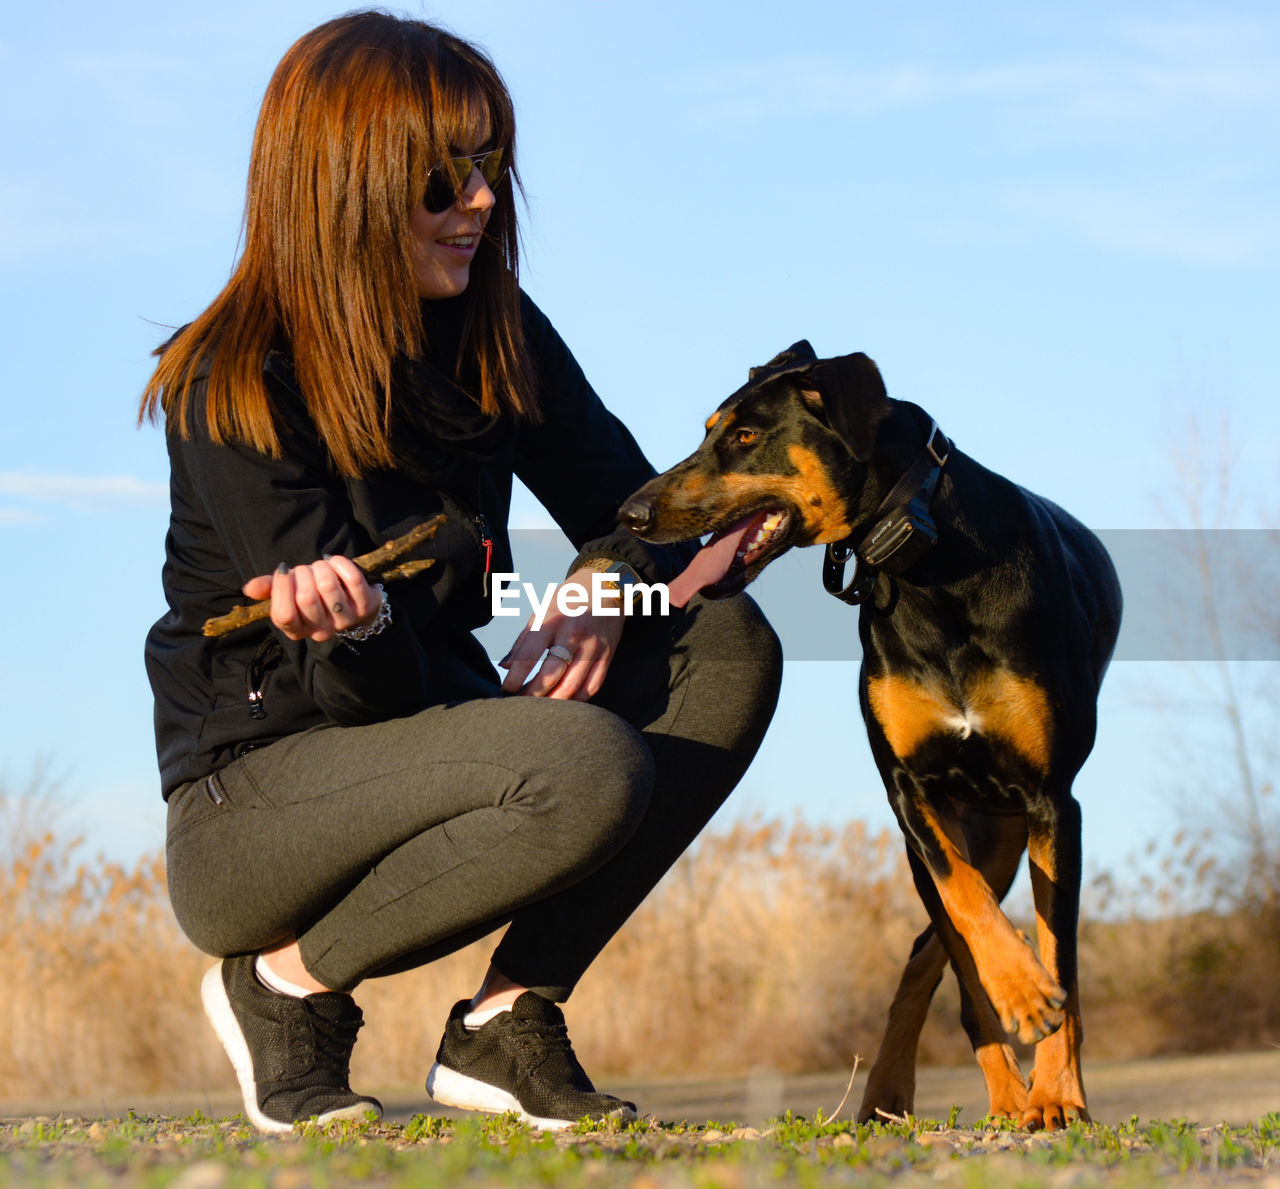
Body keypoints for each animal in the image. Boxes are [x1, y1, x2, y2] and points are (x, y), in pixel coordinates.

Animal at [619, 337, 1121, 1126]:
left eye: (745, 436)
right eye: (709, 431)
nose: (631, 512)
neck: (932, 571)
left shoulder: (1052, 800)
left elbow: (1057, 952)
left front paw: (1058, 1095)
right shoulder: (910, 792)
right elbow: (969, 914)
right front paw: (1022, 1008)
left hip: (1007, 830)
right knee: (939, 952)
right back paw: (929, 1088)